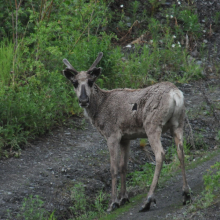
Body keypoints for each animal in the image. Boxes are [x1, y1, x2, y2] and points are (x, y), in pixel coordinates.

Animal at [62, 52, 191, 212]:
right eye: (74, 83)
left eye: (91, 81)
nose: (84, 100)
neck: (99, 109)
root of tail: (176, 94)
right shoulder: (126, 138)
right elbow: (124, 166)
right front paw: (124, 198)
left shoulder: (112, 134)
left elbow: (114, 168)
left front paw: (113, 203)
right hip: (178, 123)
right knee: (180, 150)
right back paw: (186, 194)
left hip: (152, 124)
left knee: (160, 154)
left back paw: (148, 200)